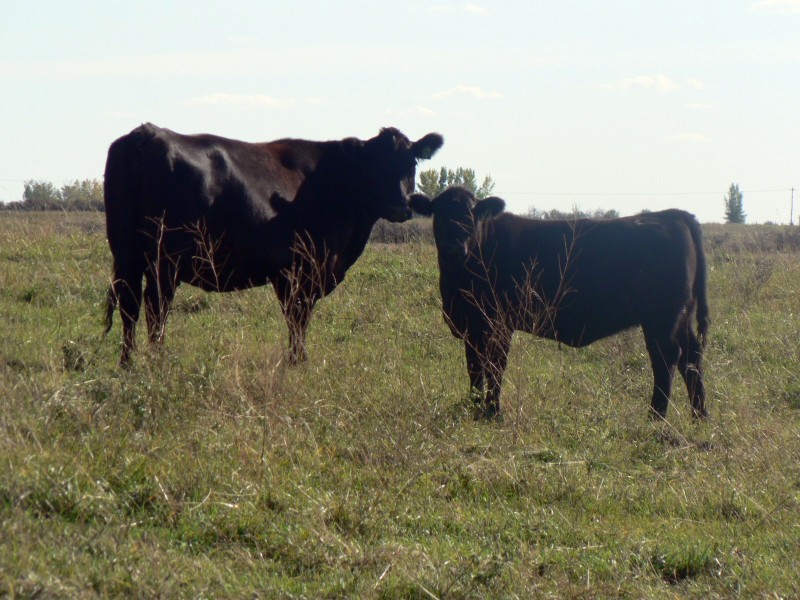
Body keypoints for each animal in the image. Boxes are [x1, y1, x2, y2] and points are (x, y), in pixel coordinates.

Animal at [103, 124, 443, 365]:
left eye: (411, 164)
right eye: (376, 167)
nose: (401, 207)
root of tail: (145, 134)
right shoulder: (304, 269)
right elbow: (298, 319)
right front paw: (298, 362)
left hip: (128, 254)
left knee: (130, 306)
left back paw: (128, 364)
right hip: (164, 259)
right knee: (155, 307)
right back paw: (156, 361)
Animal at [410, 187, 709, 421]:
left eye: (472, 215)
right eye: (439, 213)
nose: (455, 247)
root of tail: (671, 214)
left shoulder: (498, 323)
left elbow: (495, 366)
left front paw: (493, 412)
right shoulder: (471, 327)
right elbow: (474, 368)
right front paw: (474, 408)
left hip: (661, 317)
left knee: (666, 358)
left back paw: (656, 418)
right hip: (681, 315)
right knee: (691, 357)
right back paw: (700, 416)